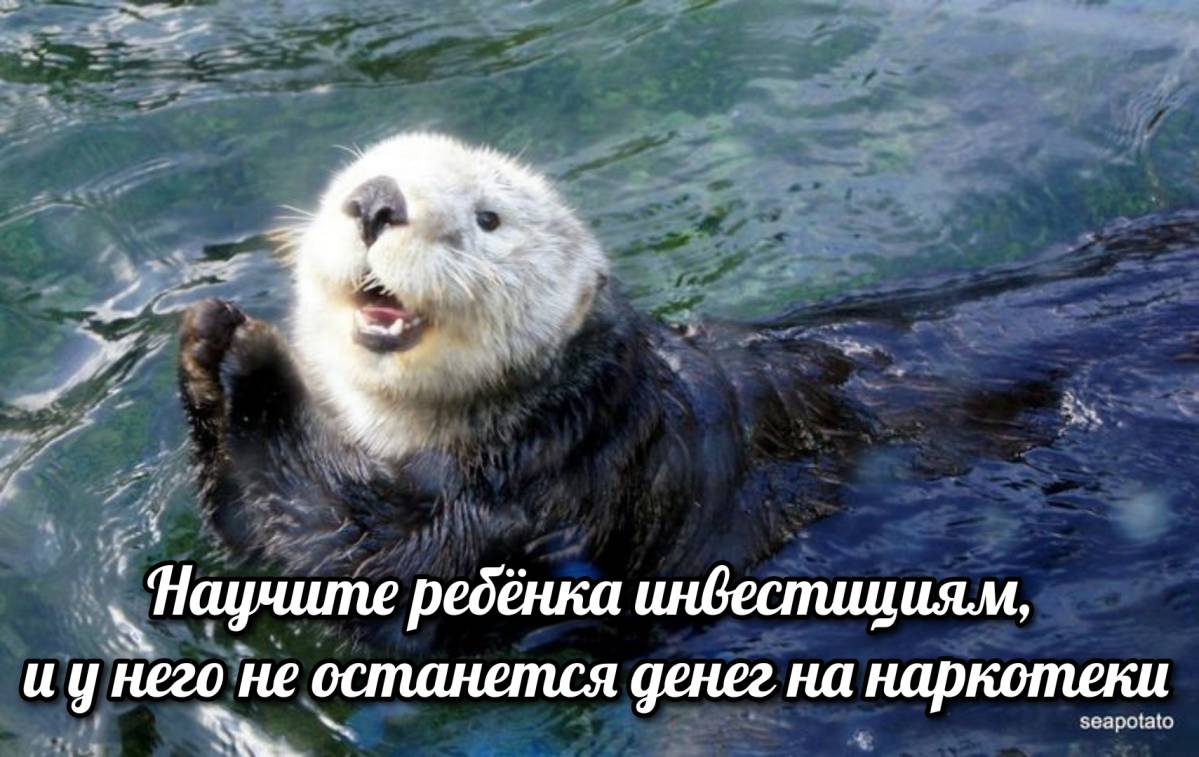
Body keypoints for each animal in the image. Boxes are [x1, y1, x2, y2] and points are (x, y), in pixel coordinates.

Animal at [179, 132, 1199, 651]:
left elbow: (353, 562)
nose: (376, 200)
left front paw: (244, 361)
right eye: (352, 179)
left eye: (488, 218)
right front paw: (204, 342)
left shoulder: (549, 496)